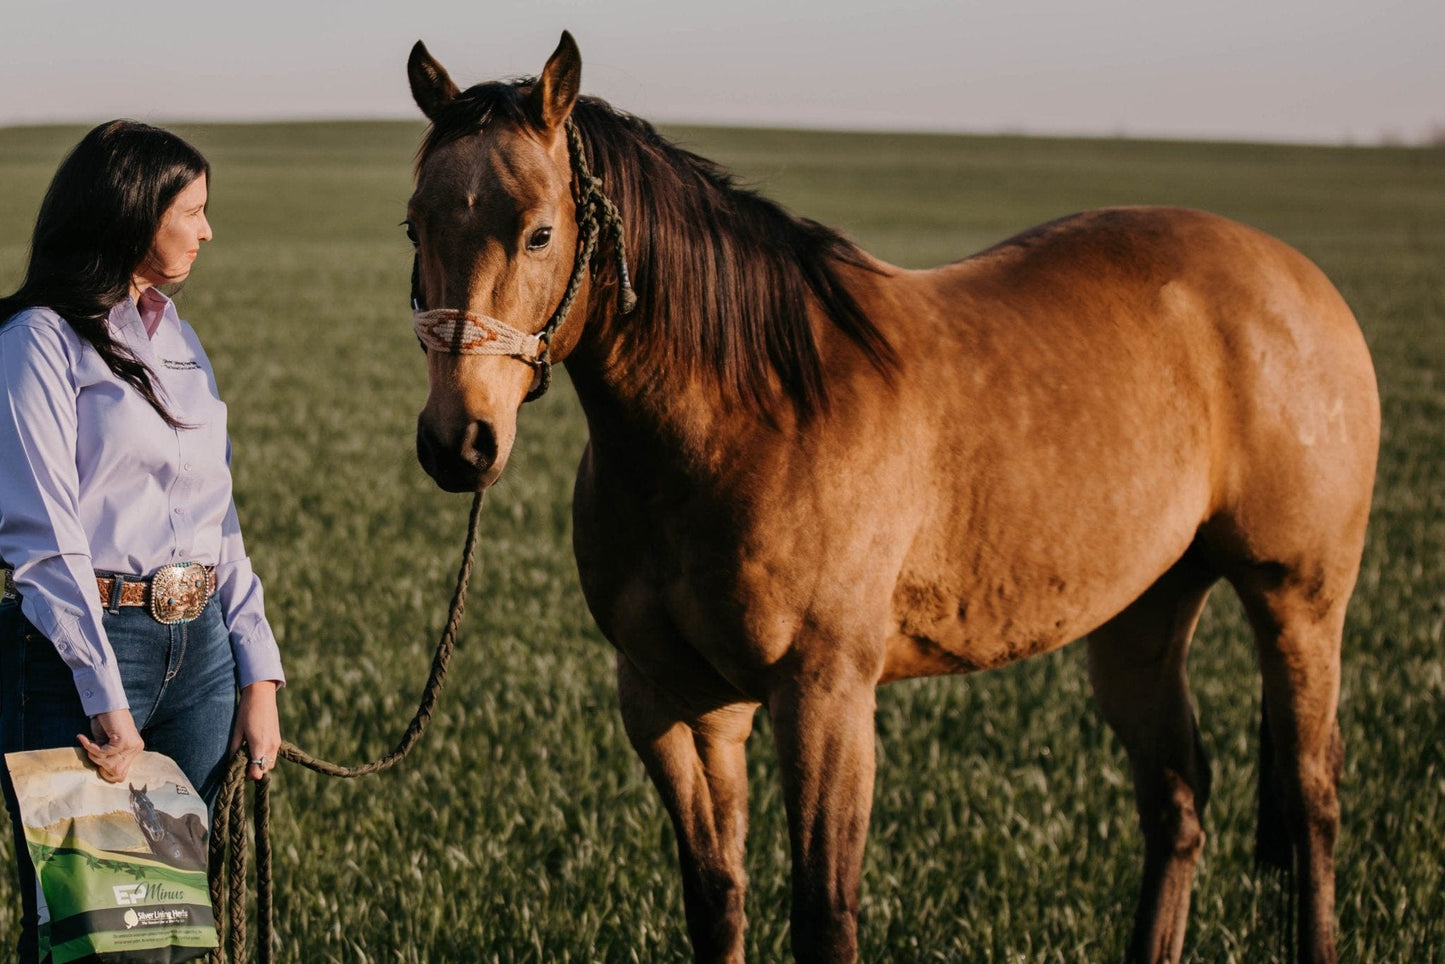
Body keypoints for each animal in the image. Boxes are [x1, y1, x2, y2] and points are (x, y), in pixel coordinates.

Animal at [403, 33, 1378, 963]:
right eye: (414, 225)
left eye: (539, 233)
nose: (459, 442)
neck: (748, 413)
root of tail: (1297, 279)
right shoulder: (674, 704)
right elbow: (716, 901)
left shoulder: (825, 698)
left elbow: (824, 916)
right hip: (1140, 616)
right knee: (1175, 796)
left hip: (1298, 600)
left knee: (1312, 794)